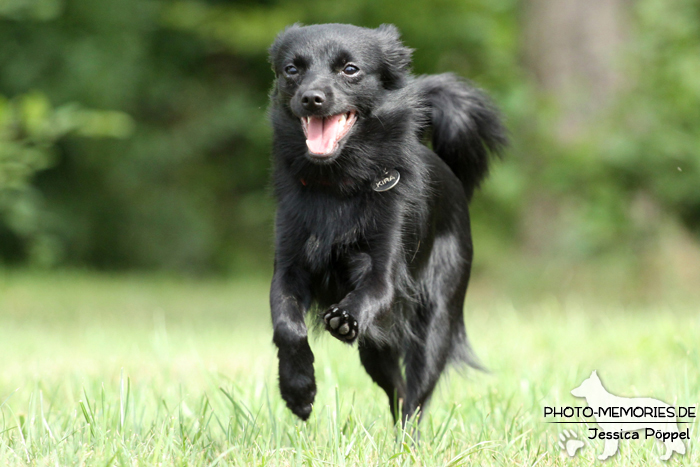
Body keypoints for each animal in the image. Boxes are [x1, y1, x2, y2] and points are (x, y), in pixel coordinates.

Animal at [266, 22, 504, 424]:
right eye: (292, 70)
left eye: (350, 69)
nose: (311, 98)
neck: (337, 186)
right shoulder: (288, 268)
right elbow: (287, 326)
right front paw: (298, 389)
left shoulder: (384, 269)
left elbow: (371, 290)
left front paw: (345, 316)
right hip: (376, 351)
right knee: (399, 391)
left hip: (434, 323)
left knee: (417, 397)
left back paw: (409, 436)